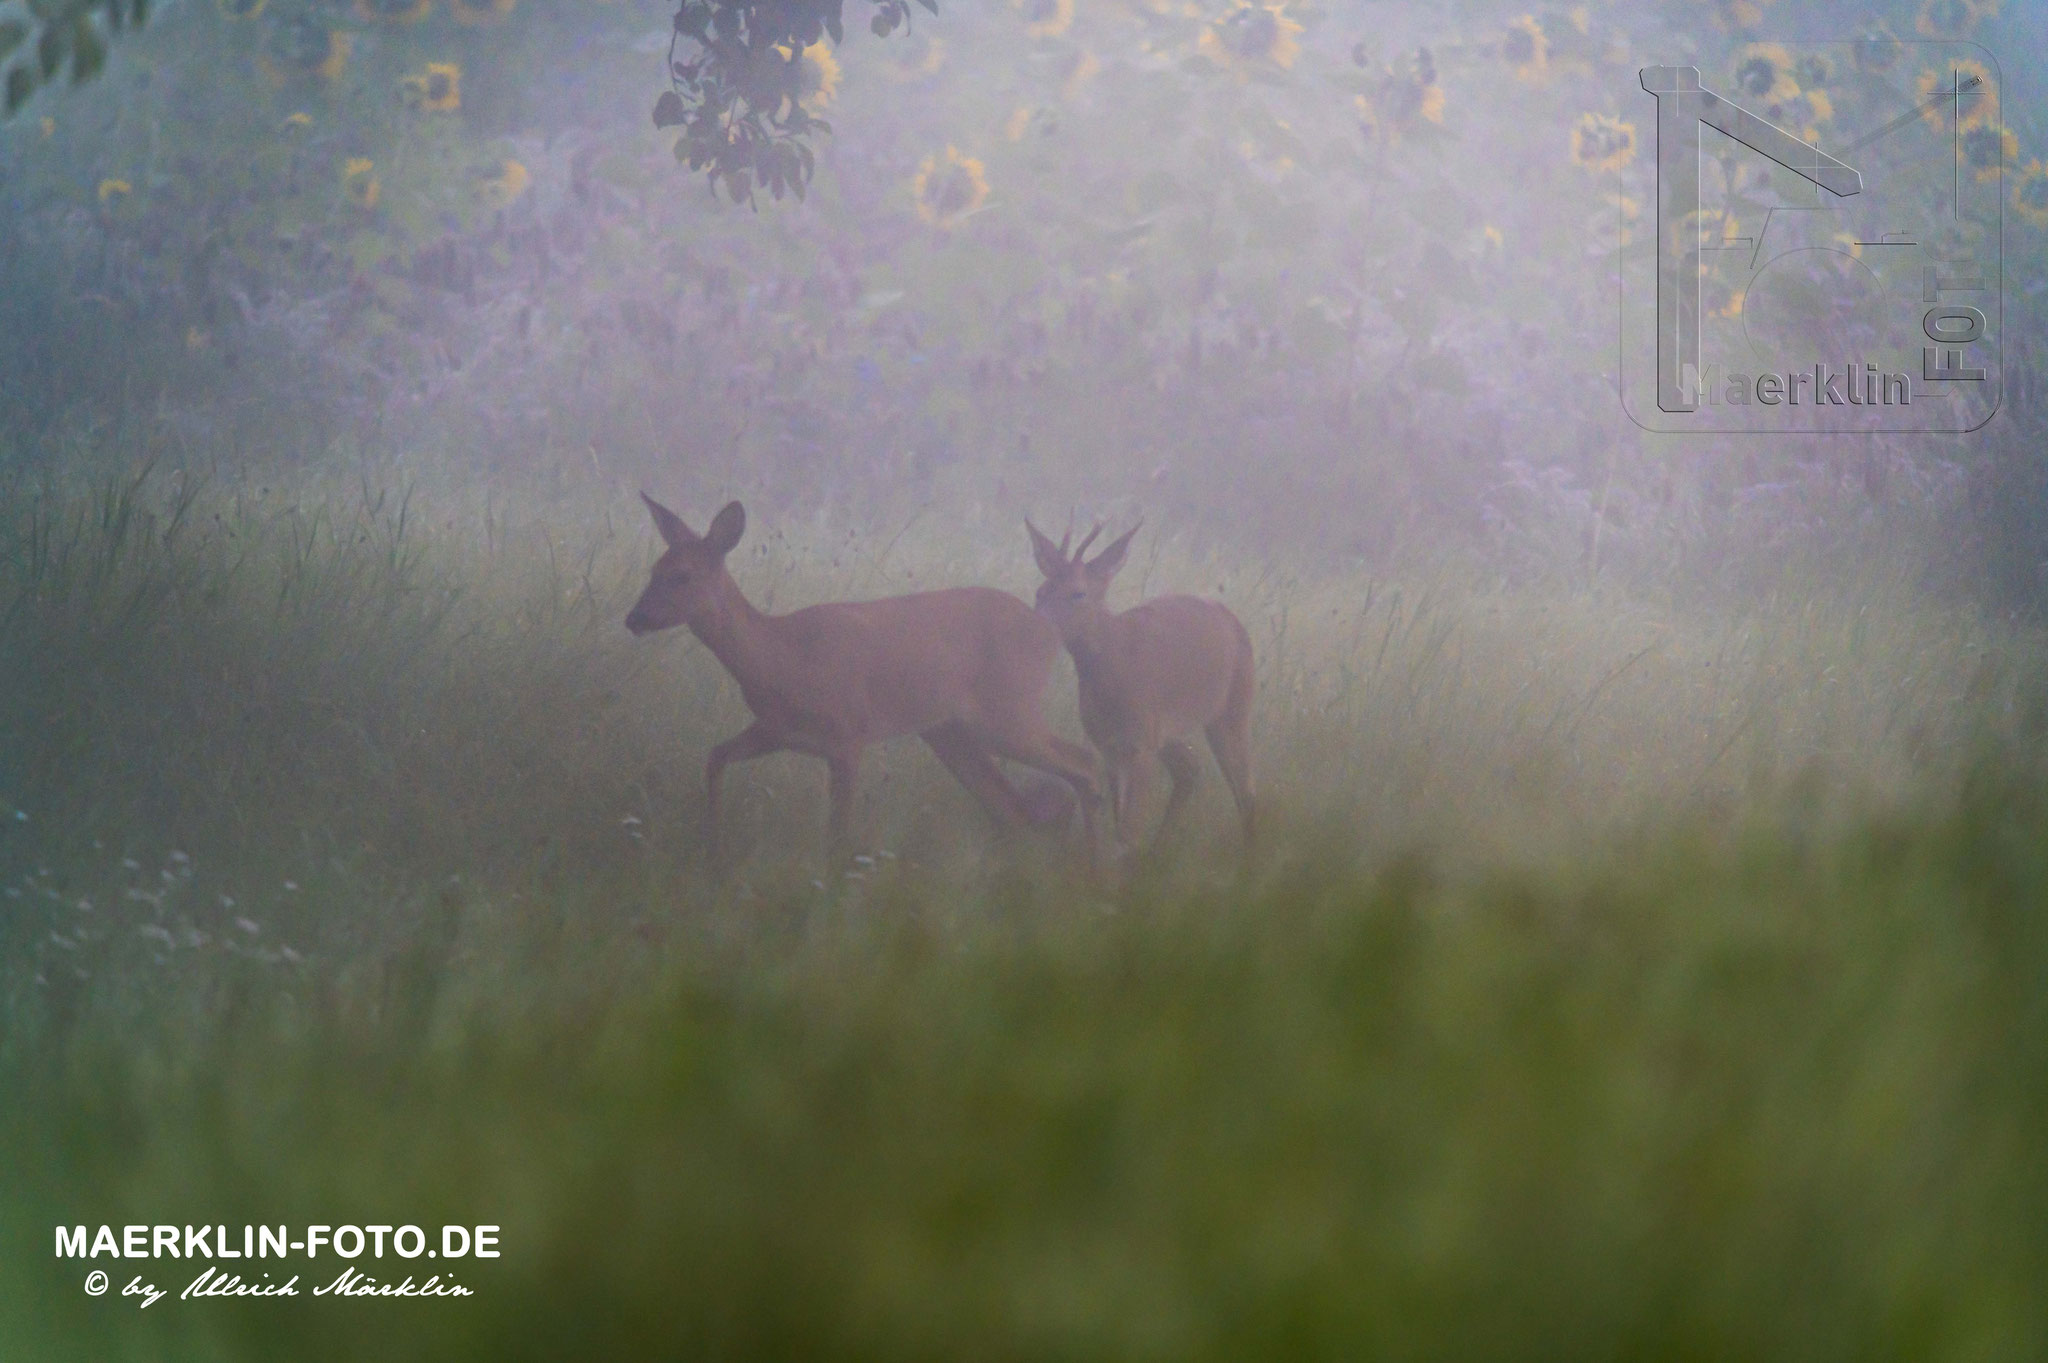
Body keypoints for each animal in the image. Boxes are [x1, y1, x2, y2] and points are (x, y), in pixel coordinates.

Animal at [622, 497, 1105, 859]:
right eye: (653, 570)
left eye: (682, 576)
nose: (634, 618)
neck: (782, 657)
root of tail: (1049, 629)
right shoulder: (775, 729)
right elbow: (715, 757)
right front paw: (714, 852)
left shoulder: (847, 736)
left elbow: (838, 839)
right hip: (952, 731)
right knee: (1012, 804)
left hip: (1008, 710)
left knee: (1082, 762)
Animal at [1024, 519, 1245, 851]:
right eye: (1040, 591)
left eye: (1078, 593)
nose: (1034, 624)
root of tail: (1229, 615)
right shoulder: (1110, 745)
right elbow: (1119, 824)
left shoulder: (1141, 743)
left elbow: (1130, 829)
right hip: (1167, 733)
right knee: (1191, 767)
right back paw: (1158, 854)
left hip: (1233, 706)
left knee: (1244, 788)